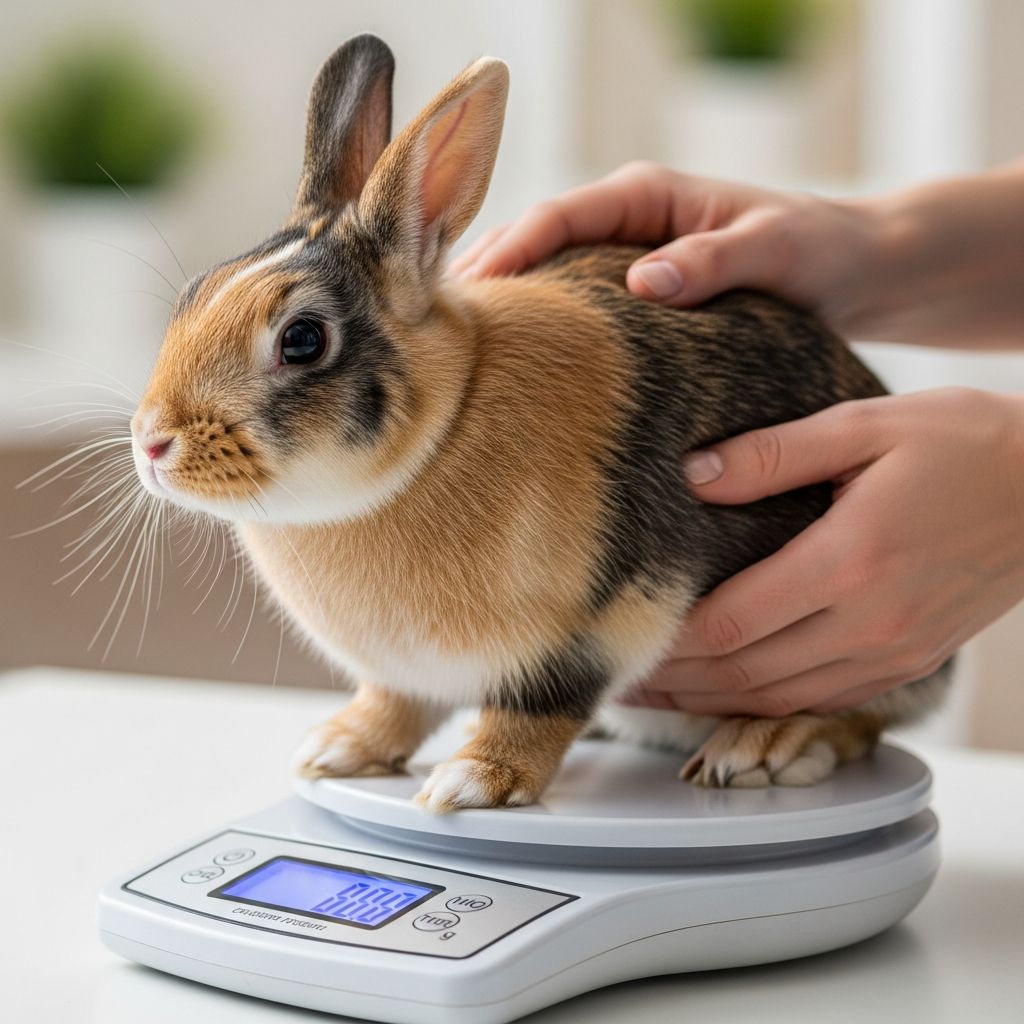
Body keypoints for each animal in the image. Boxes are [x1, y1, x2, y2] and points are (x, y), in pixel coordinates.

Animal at [130, 34, 949, 812]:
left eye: (302, 340)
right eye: (194, 293)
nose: (151, 443)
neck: (441, 434)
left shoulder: (595, 628)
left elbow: (535, 712)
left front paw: (471, 784)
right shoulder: (405, 673)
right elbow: (396, 706)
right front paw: (335, 749)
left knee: (867, 716)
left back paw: (761, 747)